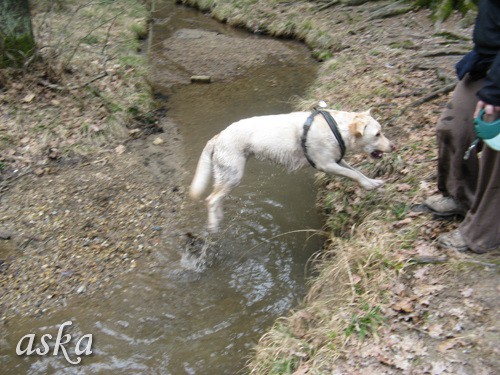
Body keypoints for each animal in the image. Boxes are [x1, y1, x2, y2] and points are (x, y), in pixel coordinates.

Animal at [189, 108, 392, 232]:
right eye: (377, 134)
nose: (394, 146)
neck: (336, 129)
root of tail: (217, 136)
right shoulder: (326, 164)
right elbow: (352, 174)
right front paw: (368, 185)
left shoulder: (337, 160)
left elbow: (356, 171)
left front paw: (373, 182)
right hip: (233, 174)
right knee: (211, 199)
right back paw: (214, 225)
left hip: (227, 174)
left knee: (216, 197)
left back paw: (219, 216)